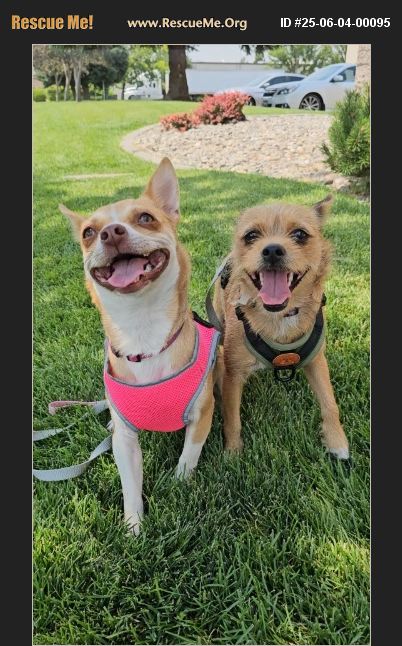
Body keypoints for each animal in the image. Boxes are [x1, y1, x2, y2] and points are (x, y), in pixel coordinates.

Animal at [60, 158, 220, 535]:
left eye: (145, 217)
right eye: (88, 233)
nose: (110, 232)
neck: (142, 328)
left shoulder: (202, 415)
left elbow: (189, 456)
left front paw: (179, 485)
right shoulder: (126, 443)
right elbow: (130, 482)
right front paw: (133, 527)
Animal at [212, 196, 349, 459]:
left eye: (300, 234)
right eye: (251, 236)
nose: (273, 250)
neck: (279, 316)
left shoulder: (317, 361)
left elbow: (330, 403)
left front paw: (337, 441)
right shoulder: (234, 375)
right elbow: (232, 418)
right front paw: (233, 452)